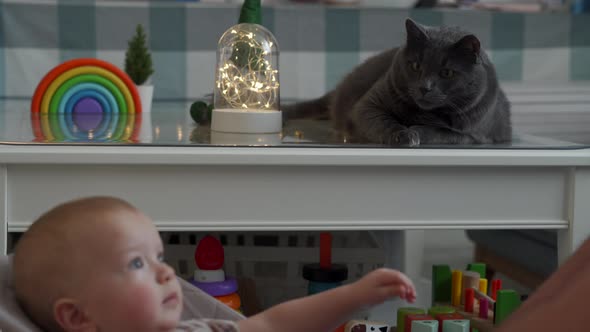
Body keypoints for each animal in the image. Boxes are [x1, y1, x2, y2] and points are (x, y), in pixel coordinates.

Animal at [284, 18, 512, 147]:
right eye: (416, 65)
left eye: (446, 72)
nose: (425, 87)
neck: (423, 114)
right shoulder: (368, 105)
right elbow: (382, 121)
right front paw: (402, 135)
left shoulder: (474, 135)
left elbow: (438, 132)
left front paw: (413, 132)